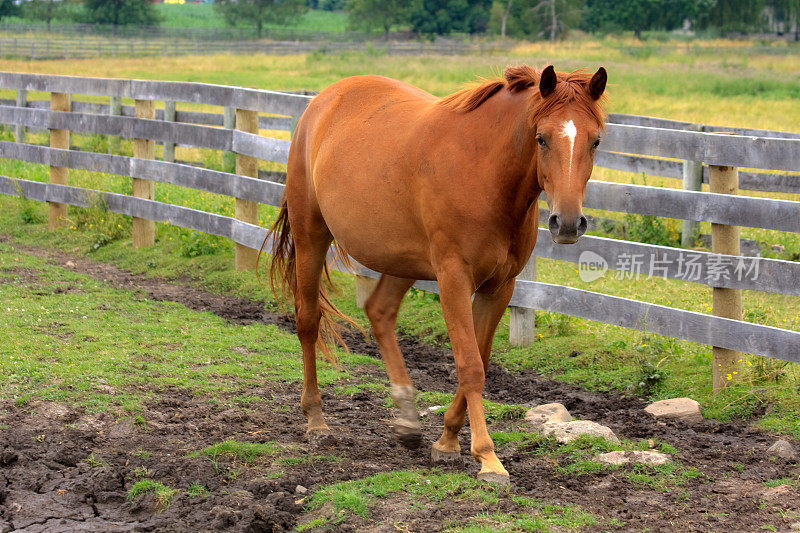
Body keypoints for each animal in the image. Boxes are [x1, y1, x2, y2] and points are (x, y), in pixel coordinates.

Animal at [268, 63, 608, 482]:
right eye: (541, 138)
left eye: (595, 141)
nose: (568, 223)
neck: (484, 171)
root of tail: (324, 100)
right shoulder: (454, 279)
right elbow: (470, 364)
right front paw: (488, 458)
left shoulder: (501, 286)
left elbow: (481, 358)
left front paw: (446, 441)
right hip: (311, 236)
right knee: (308, 320)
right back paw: (317, 422)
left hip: (401, 259)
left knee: (380, 312)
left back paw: (407, 419)